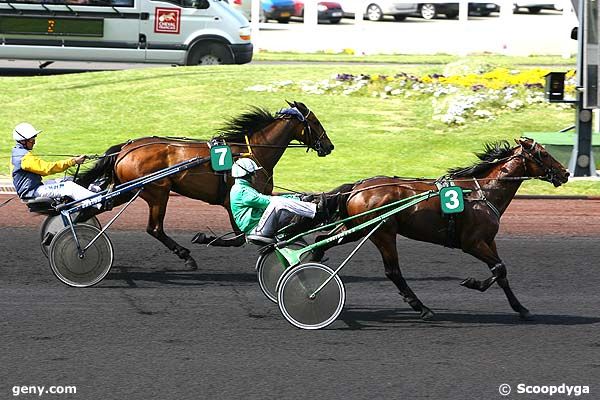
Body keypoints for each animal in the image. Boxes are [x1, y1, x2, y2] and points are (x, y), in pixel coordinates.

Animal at [76, 100, 332, 270]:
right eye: (315, 121)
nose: (329, 146)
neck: (253, 153)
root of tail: (126, 148)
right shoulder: (232, 201)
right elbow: (239, 238)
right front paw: (205, 238)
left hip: (128, 189)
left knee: (93, 209)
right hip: (157, 191)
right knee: (154, 228)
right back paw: (186, 256)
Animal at [316, 139, 568, 320]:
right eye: (544, 154)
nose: (565, 173)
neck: (482, 192)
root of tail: (358, 187)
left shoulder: (489, 240)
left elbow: (502, 273)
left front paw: (521, 308)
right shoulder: (472, 243)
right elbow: (499, 268)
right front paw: (472, 283)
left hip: (357, 228)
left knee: (321, 241)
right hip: (382, 233)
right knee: (393, 272)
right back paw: (422, 308)